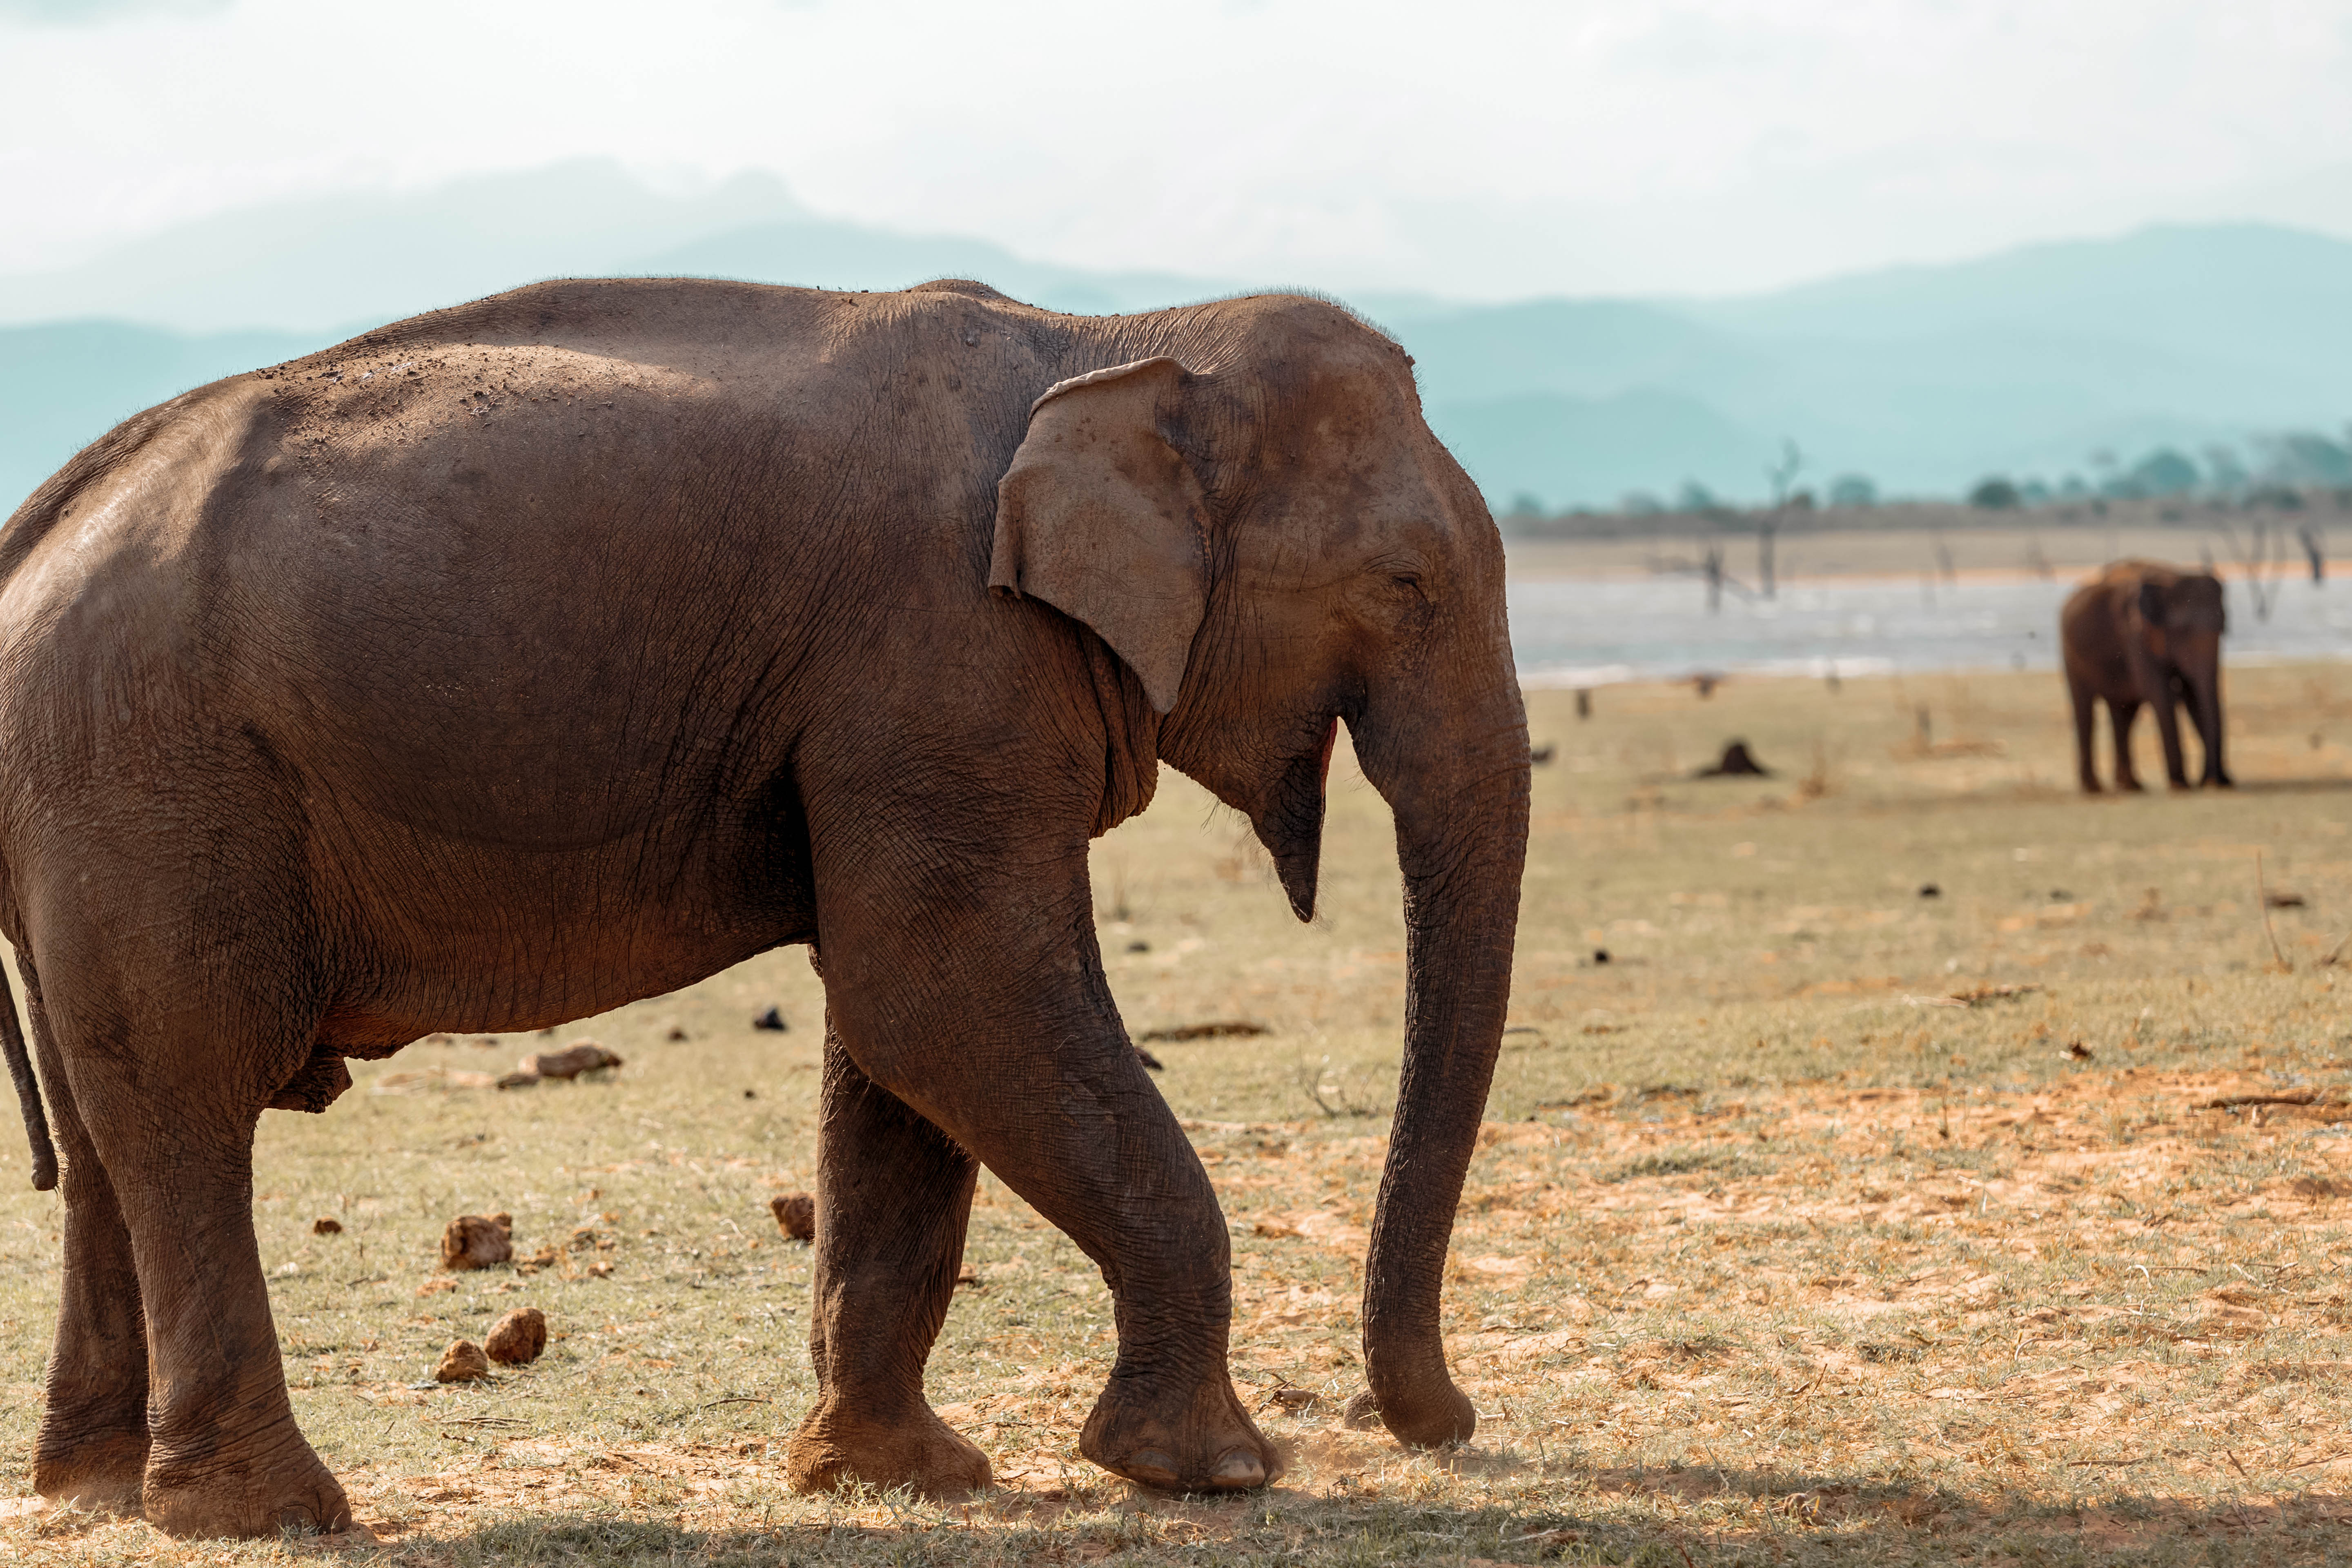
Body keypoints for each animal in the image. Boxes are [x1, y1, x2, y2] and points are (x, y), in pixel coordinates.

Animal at [0, 277, 1529, 1536]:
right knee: (189, 1102)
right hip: (153, 780)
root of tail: (42, 522)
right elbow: (941, 995)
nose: (1443, 1426)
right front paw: (1208, 1471)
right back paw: (268, 1515)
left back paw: (96, 1493)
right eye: (1405, 582)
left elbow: (903, 1044)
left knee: (105, 1124)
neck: (1107, 341)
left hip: (89, 809)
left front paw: (901, 1476)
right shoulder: (946, 657)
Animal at [2060, 560, 2231, 793]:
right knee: (2085, 709)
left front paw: (2213, 783)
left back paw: (2131, 786)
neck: (2171, 577)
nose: (2217, 782)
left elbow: (2193, 695)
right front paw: (2180, 786)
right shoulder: (2135, 635)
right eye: (2181, 631)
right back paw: (2094, 790)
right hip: (2071, 654)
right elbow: (2161, 694)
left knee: (2124, 713)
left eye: (2222, 628)